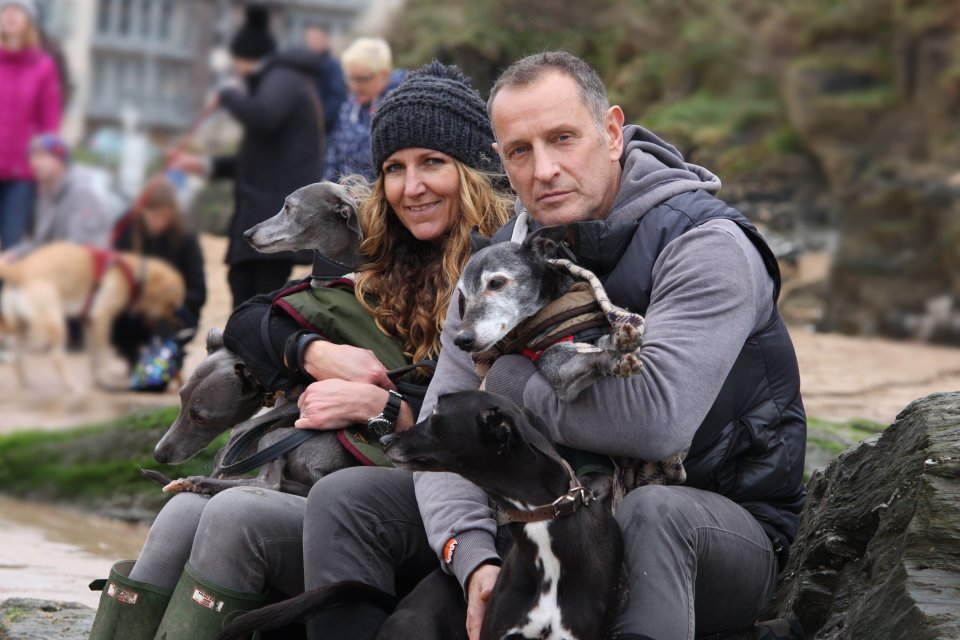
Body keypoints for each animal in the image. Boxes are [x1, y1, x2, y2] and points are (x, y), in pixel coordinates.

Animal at [0, 240, 185, 390]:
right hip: (56, 325)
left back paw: (26, 386)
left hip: (23, 327)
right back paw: (72, 386)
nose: (177, 325)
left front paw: (97, 381)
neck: (133, 273)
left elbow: (93, 357)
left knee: (18, 358)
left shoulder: (90, 323)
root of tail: (19, 269)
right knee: (56, 359)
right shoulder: (102, 319)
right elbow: (102, 355)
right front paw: (104, 380)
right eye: (172, 305)